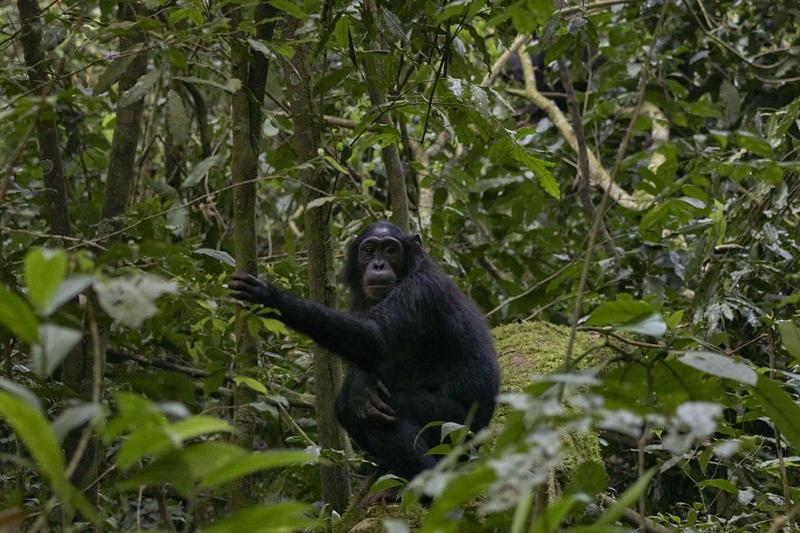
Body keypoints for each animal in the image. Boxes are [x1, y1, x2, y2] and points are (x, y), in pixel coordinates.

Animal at [228, 222, 496, 480]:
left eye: (390, 250)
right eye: (369, 250)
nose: (378, 264)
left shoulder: (420, 291)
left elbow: (372, 336)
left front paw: (270, 296)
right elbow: (362, 348)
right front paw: (361, 384)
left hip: (455, 427)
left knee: (385, 415)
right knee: (346, 406)